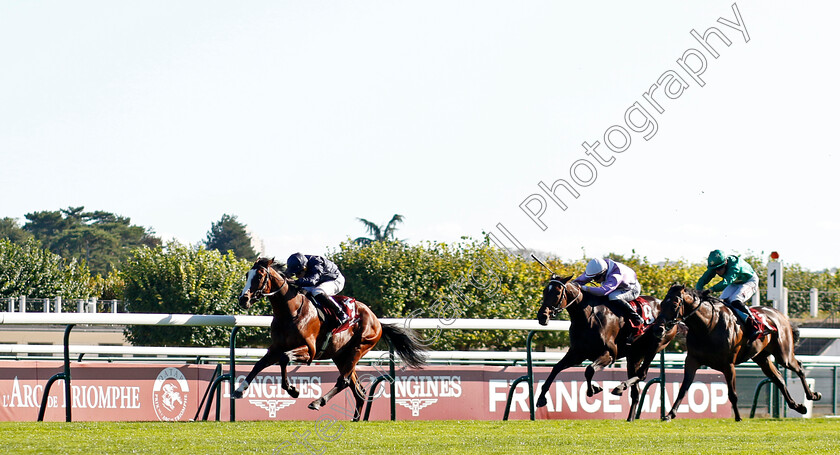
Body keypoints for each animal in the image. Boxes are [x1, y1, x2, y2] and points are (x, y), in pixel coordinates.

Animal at [233, 258, 426, 422]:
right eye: (247, 275)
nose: (243, 299)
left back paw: (318, 402)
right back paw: (355, 419)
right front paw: (239, 390)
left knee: (344, 381)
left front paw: (293, 390)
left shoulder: (309, 351)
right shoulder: (276, 347)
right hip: (341, 356)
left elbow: (285, 358)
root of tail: (377, 320)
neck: (290, 311)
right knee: (358, 389)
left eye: (259, 276)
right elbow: (259, 364)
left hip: (359, 348)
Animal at [536, 272, 680, 422]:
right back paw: (629, 416)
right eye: (545, 291)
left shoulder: (609, 354)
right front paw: (541, 398)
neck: (588, 316)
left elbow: (589, 370)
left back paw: (620, 388)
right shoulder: (577, 353)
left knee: (642, 374)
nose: (542, 316)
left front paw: (593, 389)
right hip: (634, 355)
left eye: (557, 292)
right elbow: (556, 368)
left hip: (656, 345)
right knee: (636, 390)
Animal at [656, 286, 820, 422]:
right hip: (762, 357)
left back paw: (812, 395)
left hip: (783, 354)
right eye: (662, 304)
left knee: (798, 367)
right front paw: (669, 414)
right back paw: (798, 406)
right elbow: (683, 388)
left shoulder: (728, 364)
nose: (659, 328)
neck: (708, 325)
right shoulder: (692, 360)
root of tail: (780, 315)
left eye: (674, 304)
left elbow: (732, 394)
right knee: (778, 379)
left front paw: (738, 417)